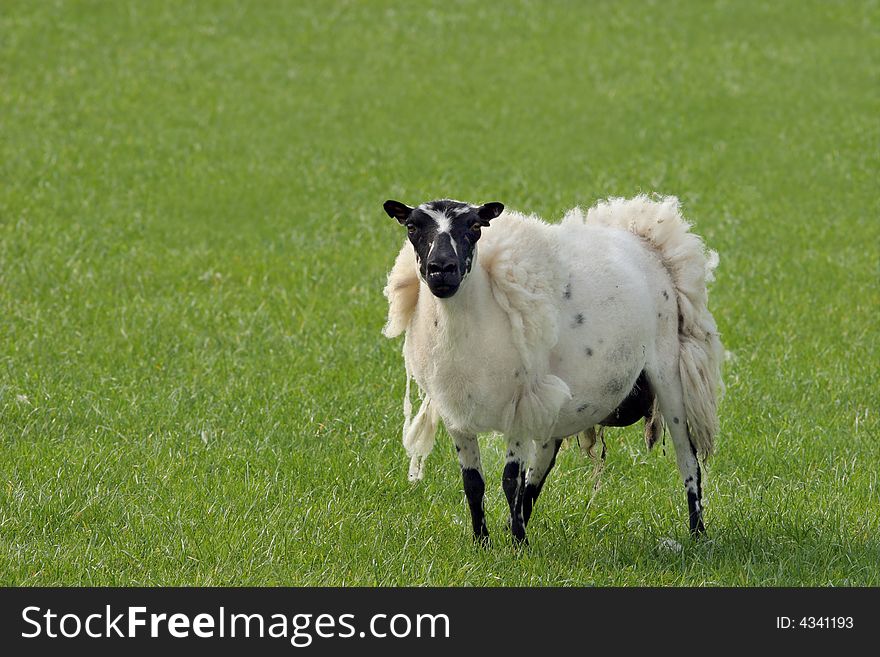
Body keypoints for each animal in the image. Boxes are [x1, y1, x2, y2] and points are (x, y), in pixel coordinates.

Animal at [384, 195, 720, 544]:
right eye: (412, 227)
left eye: (475, 227)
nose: (442, 269)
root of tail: (644, 234)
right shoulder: (456, 412)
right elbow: (473, 483)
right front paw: (482, 542)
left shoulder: (519, 406)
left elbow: (509, 480)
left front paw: (518, 545)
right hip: (553, 400)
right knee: (543, 463)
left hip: (667, 370)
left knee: (688, 458)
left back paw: (698, 533)